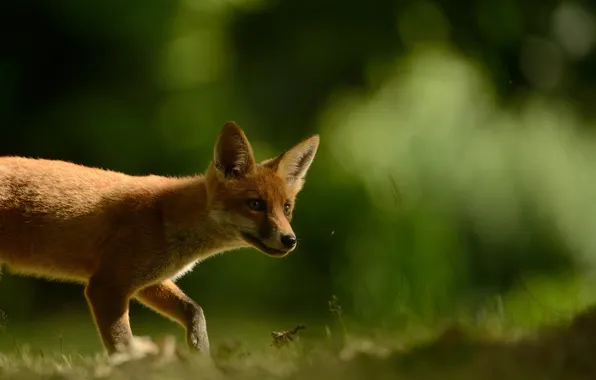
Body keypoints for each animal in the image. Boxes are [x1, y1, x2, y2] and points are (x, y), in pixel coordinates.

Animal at [0, 122, 322, 356]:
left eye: (287, 208)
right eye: (255, 204)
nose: (290, 239)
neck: (166, 217)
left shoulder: (148, 282)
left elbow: (194, 311)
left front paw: (201, 356)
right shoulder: (106, 286)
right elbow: (124, 347)